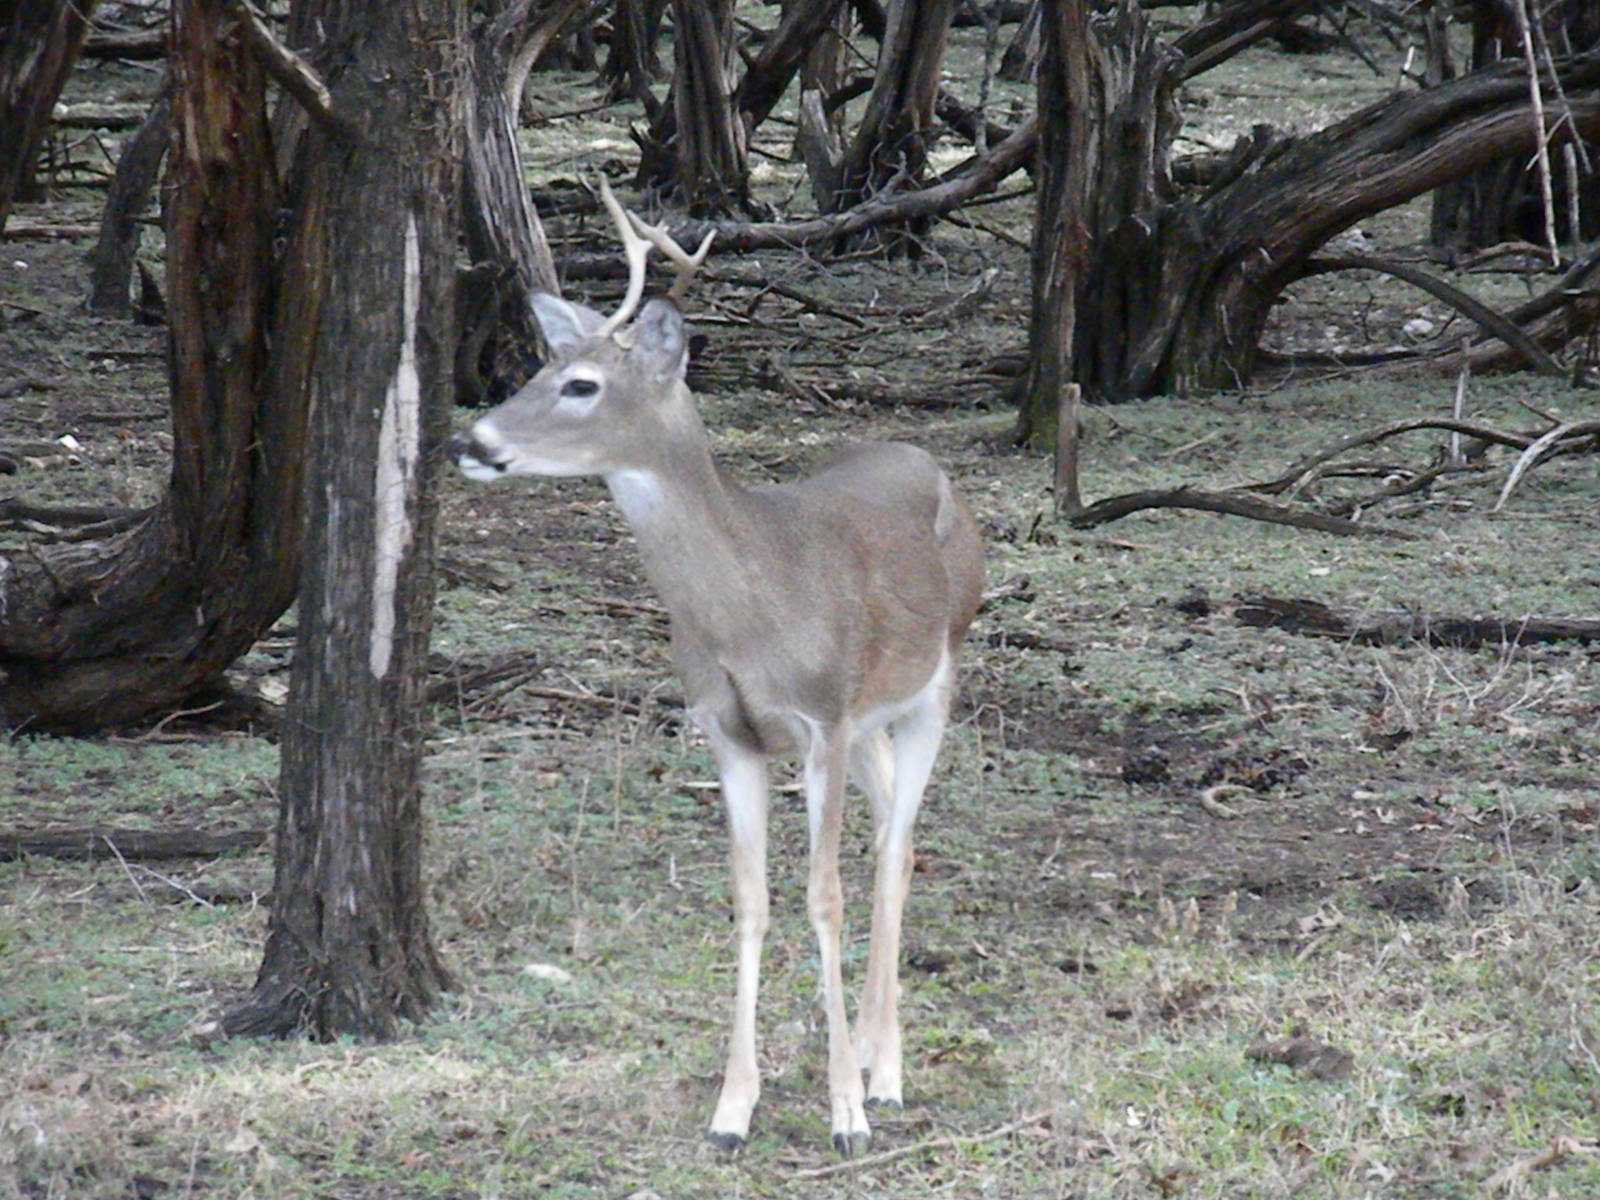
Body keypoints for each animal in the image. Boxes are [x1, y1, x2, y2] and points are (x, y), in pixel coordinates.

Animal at [450, 181, 984, 1155]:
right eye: (541, 368)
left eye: (581, 384)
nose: (470, 440)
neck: (750, 608)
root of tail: (927, 460)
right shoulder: (727, 728)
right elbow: (750, 898)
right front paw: (734, 1110)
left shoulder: (820, 721)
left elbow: (823, 896)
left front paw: (844, 1111)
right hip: (872, 718)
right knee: (893, 830)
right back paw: (875, 1057)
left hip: (938, 675)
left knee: (897, 845)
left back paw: (885, 1076)